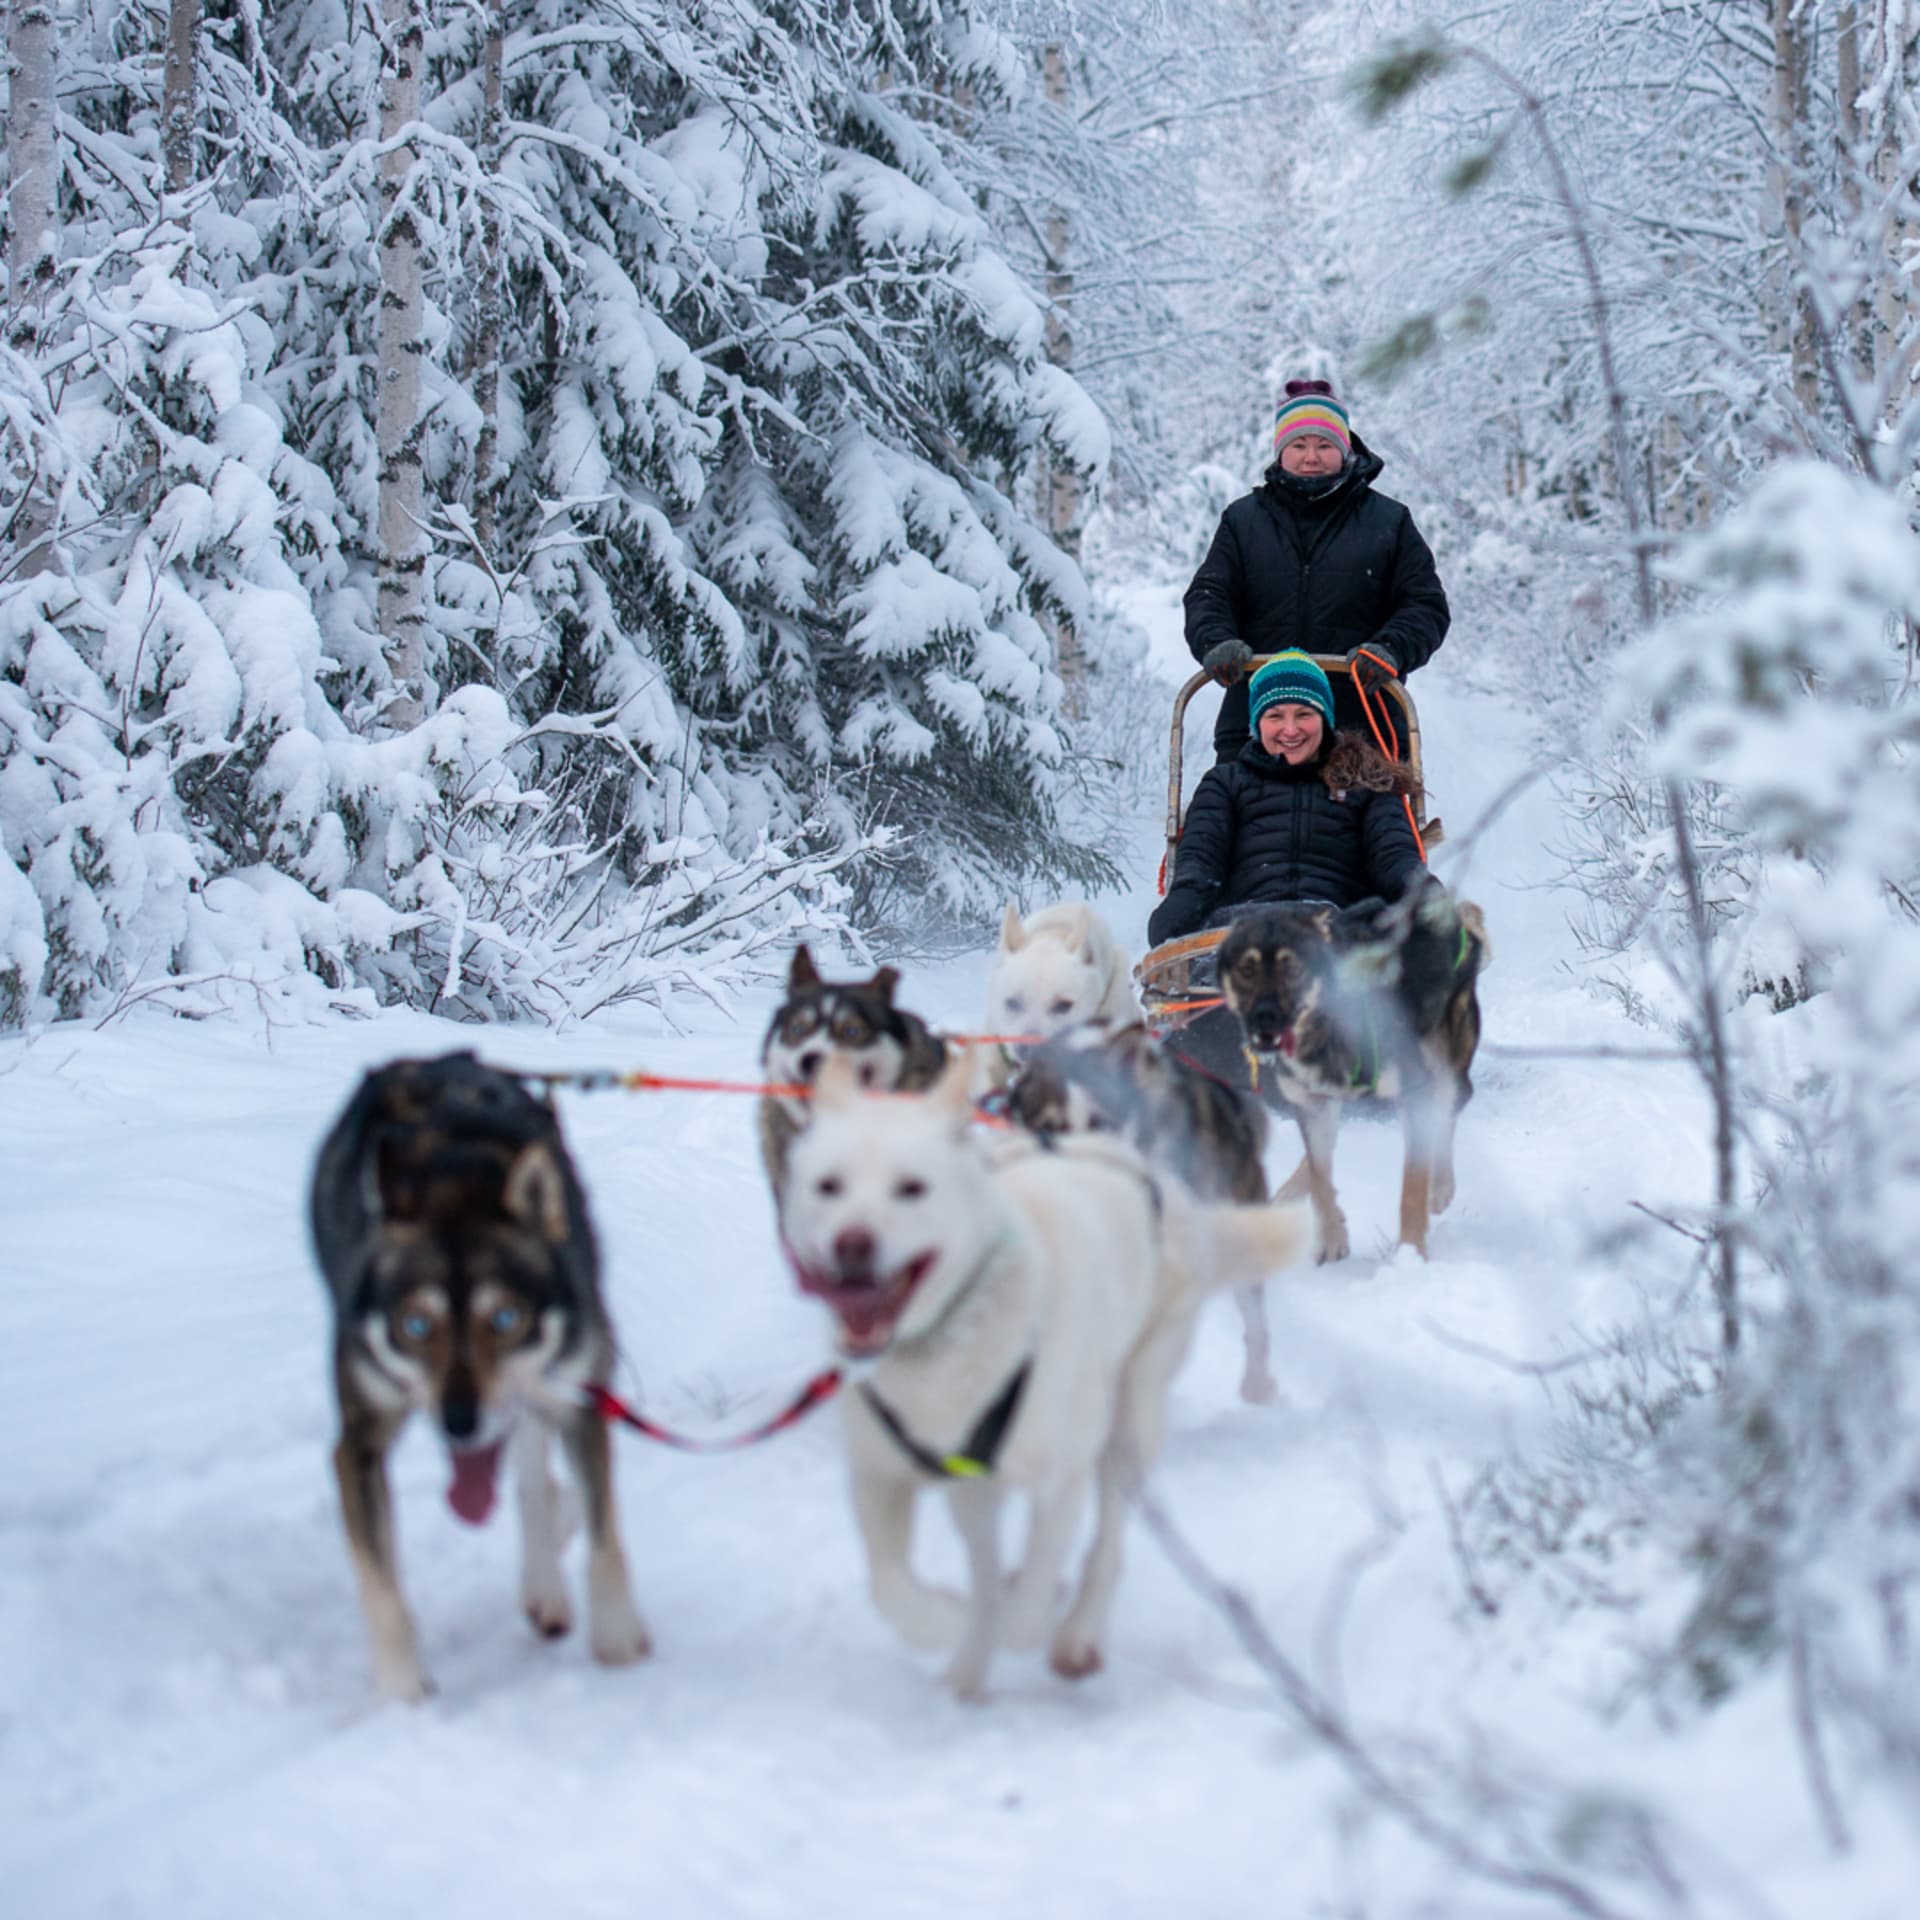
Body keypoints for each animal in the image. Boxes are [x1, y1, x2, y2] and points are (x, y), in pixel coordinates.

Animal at [307, 1059, 648, 1704]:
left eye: (505, 1319)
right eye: (417, 1324)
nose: (458, 1421)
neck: (455, 1183)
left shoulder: (577, 1398)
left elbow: (606, 1536)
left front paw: (619, 1641)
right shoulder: (358, 1442)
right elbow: (380, 1581)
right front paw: (404, 1694)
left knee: (533, 1476)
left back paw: (544, 1580)